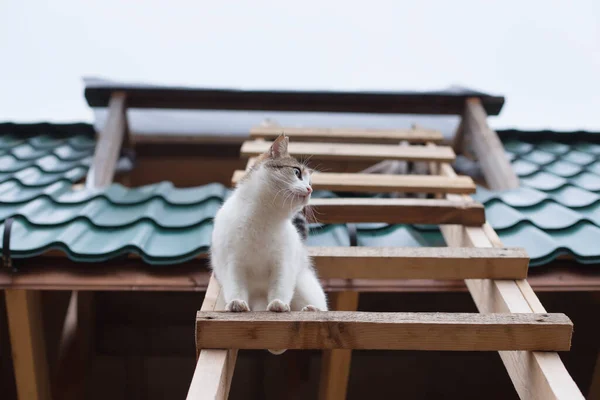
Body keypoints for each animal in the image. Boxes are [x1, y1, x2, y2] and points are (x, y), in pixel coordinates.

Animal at [210, 134, 328, 354]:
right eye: (297, 172)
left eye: (310, 181)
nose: (310, 189)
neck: (263, 218)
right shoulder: (231, 262)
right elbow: (236, 286)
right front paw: (237, 304)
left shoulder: (283, 263)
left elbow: (280, 286)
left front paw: (278, 304)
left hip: (305, 284)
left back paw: (312, 309)